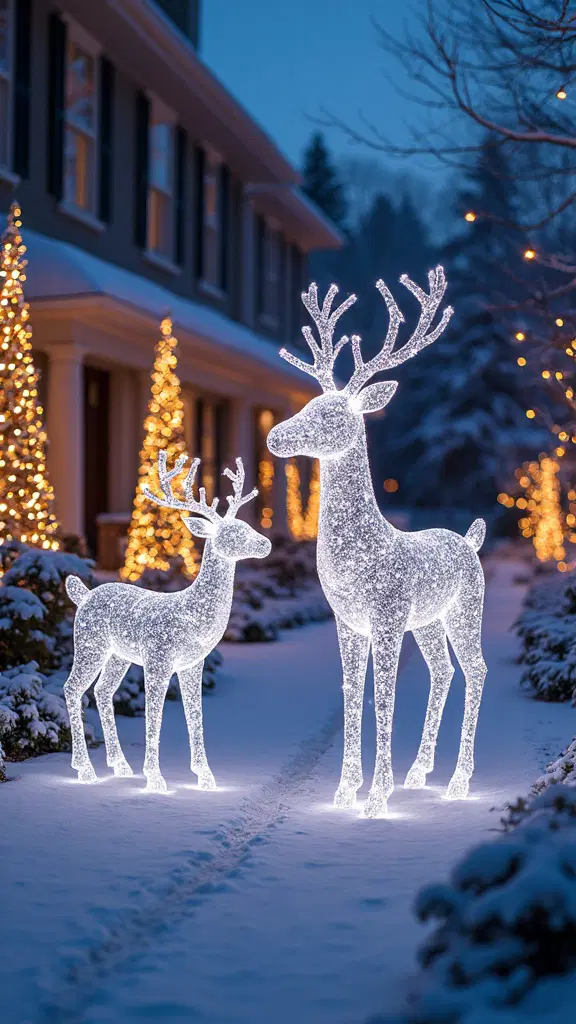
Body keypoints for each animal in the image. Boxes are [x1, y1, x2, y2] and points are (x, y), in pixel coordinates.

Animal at [64, 454, 271, 793]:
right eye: (233, 533)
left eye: (246, 524)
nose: (266, 544)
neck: (192, 615)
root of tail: (83, 596)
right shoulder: (158, 660)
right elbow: (154, 716)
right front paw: (155, 778)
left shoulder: (193, 664)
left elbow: (195, 714)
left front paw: (206, 777)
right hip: (89, 644)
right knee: (72, 688)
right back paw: (85, 770)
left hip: (119, 655)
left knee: (103, 692)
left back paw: (120, 765)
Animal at [267, 267, 487, 818]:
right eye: (308, 402)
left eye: (332, 415)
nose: (275, 438)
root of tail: (471, 541)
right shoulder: (347, 619)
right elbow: (352, 690)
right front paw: (346, 790)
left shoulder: (386, 616)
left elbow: (384, 693)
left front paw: (376, 798)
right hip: (427, 621)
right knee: (442, 671)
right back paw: (418, 773)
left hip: (465, 608)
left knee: (475, 669)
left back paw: (458, 782)